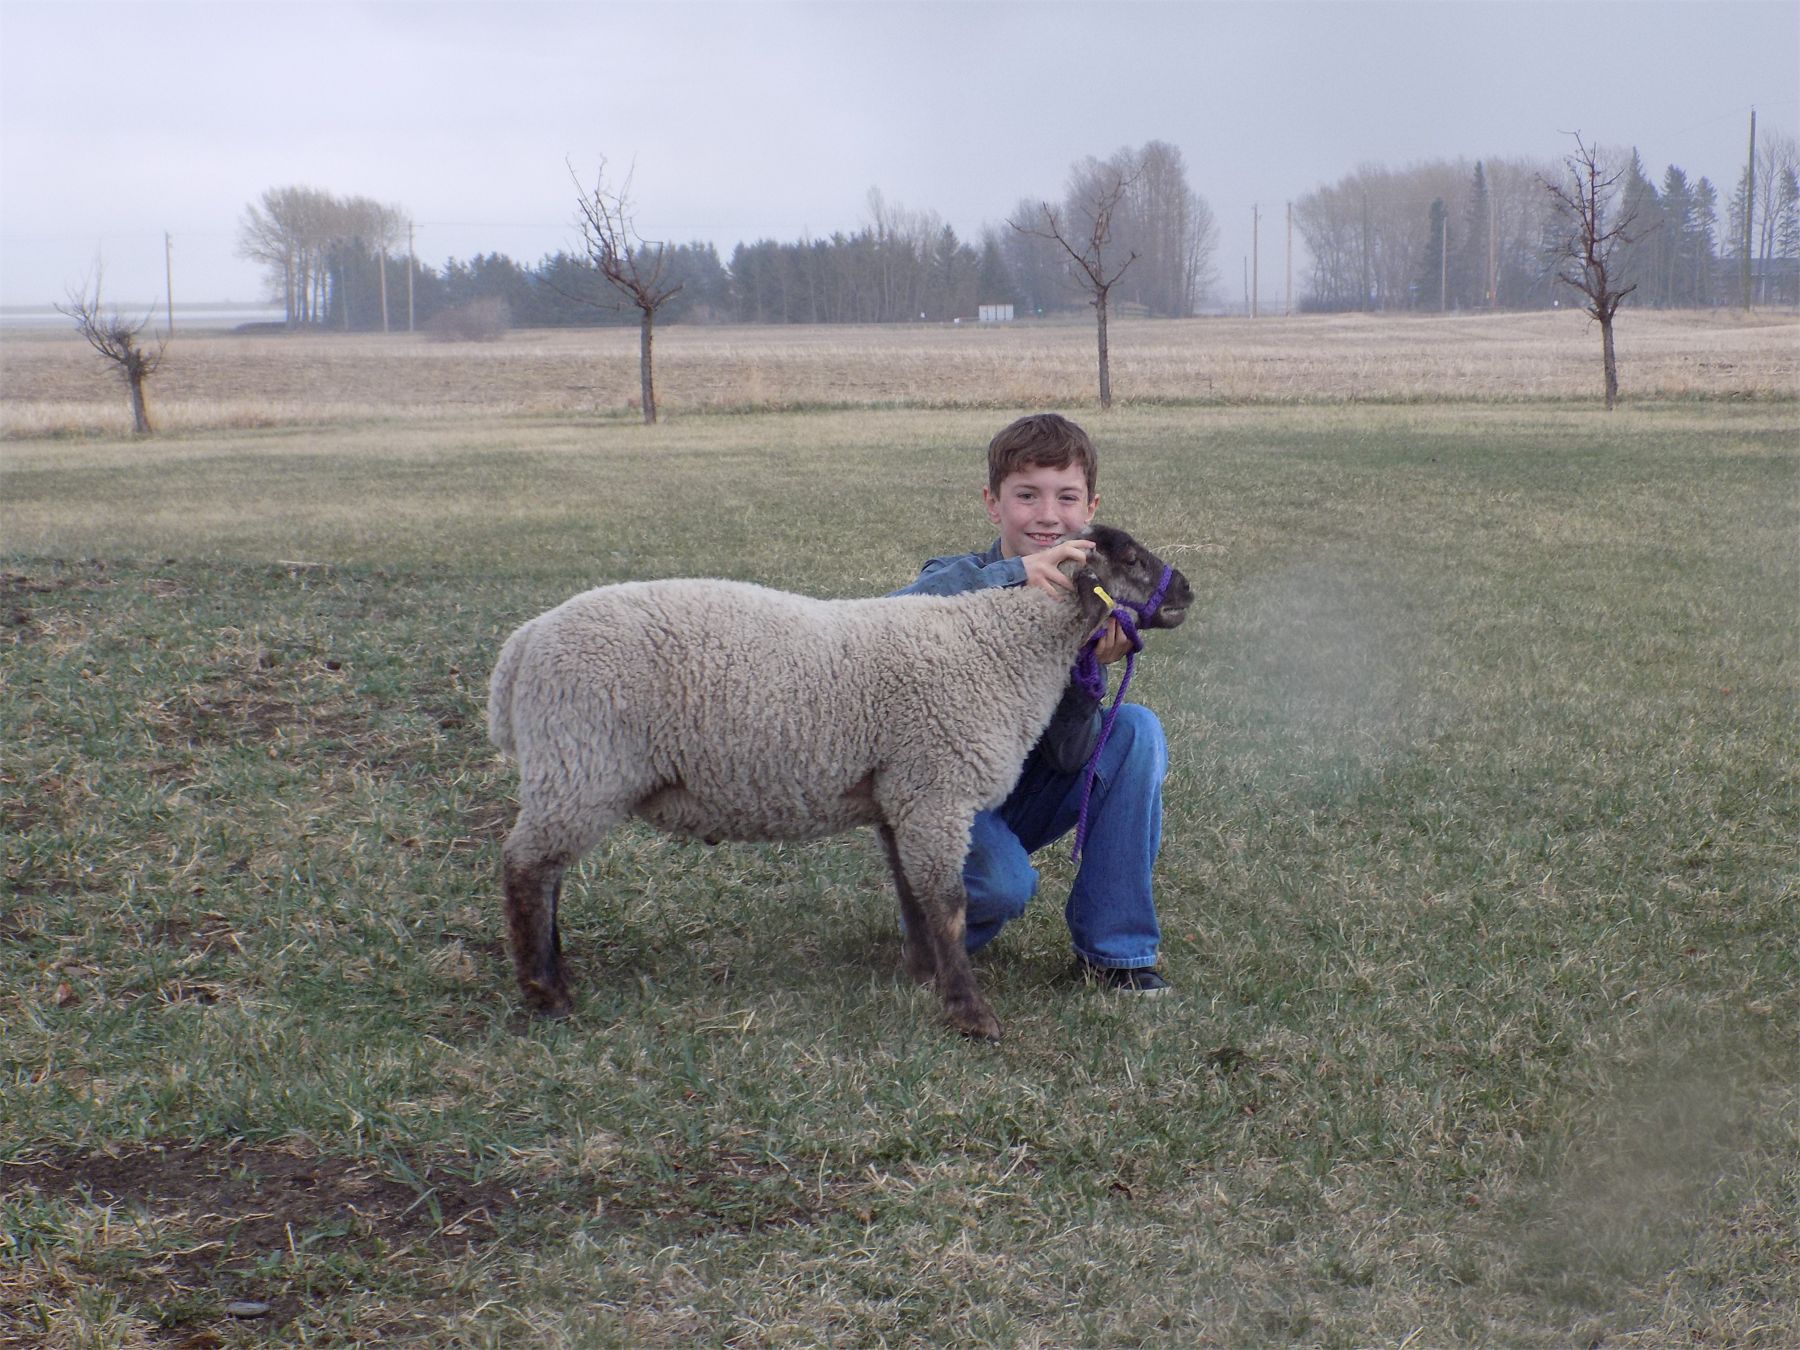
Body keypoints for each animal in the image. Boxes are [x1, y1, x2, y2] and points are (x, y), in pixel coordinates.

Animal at [487, 524, 1193, 1041]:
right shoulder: (935, 790)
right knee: (526, 869)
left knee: (545, 872)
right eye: (1130, 558)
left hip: (571, 772)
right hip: (582, 763)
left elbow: (914, 895)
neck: (999, 644)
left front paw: (923, 975)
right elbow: (947, 902)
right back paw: (546, 993)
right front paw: (970, 1013)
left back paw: (558, 975)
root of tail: (521, 646)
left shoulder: (900, 797)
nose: (1186, 591)